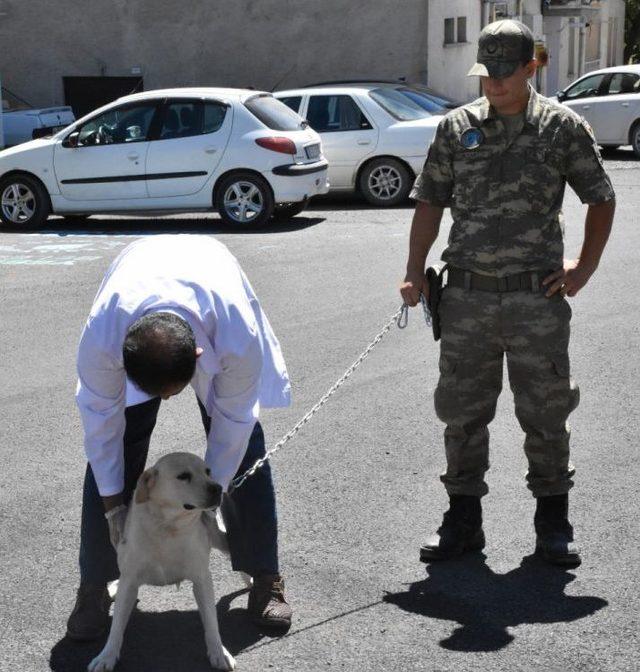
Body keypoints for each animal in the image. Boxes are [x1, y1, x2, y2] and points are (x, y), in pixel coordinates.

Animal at [89, 454, 249, 668]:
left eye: (208, 471)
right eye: (183, 476)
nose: (217, 488)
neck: (168, 527)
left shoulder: (202, 579)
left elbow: (211, 622)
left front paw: (219, 652)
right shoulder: (129, 581)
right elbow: (116, 627)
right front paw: (107, 656)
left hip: (220, 539)